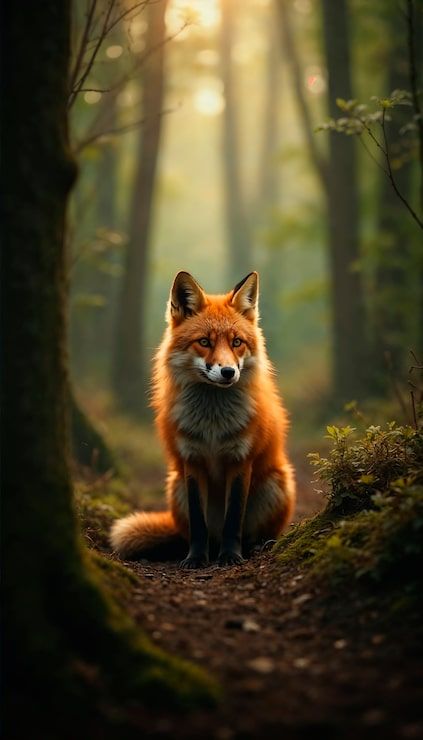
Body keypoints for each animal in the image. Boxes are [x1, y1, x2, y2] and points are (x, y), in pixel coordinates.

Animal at [110, 270, 295, 568]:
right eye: (205, 342)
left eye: (236, 342)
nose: (228, 372)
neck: (213, 427)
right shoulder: (192, 460)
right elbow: (199, 523)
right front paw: (196, 557)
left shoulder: (240, 459)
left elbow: (234, 519)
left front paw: (231, 556)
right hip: (175, 487)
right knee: (197, 532)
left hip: (276, 484)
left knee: (253, 532)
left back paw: (255, 546)